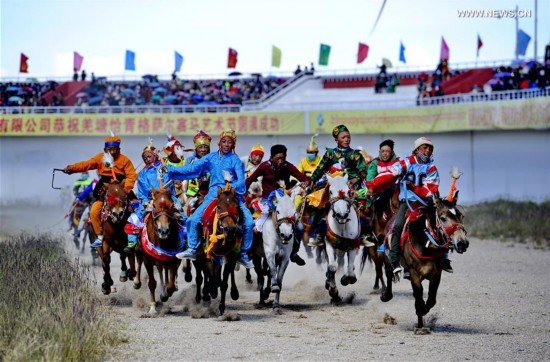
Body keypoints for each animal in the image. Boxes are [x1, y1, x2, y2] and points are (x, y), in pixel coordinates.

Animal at [134, 188, 184, 316]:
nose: (164, 230)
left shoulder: (173, 259)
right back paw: (136, 282)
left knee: (164, 271)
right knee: (139, 260)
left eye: (172, 205)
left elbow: (171, 285)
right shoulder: (148, 260)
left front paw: (164, 294)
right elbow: (152, 283)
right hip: (141, 251)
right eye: (154, 205)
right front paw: (152, 308)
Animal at [384, 192, 470, 330]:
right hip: (387, 258)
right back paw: (386, 296)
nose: (463, 243)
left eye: (461, 216)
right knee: (388, 272)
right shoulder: (414, 273)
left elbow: (431, 298)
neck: (425, 243)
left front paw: (423, 311)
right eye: (443, 218)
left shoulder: (436, 273)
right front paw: (420, 312)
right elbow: (419, 295)